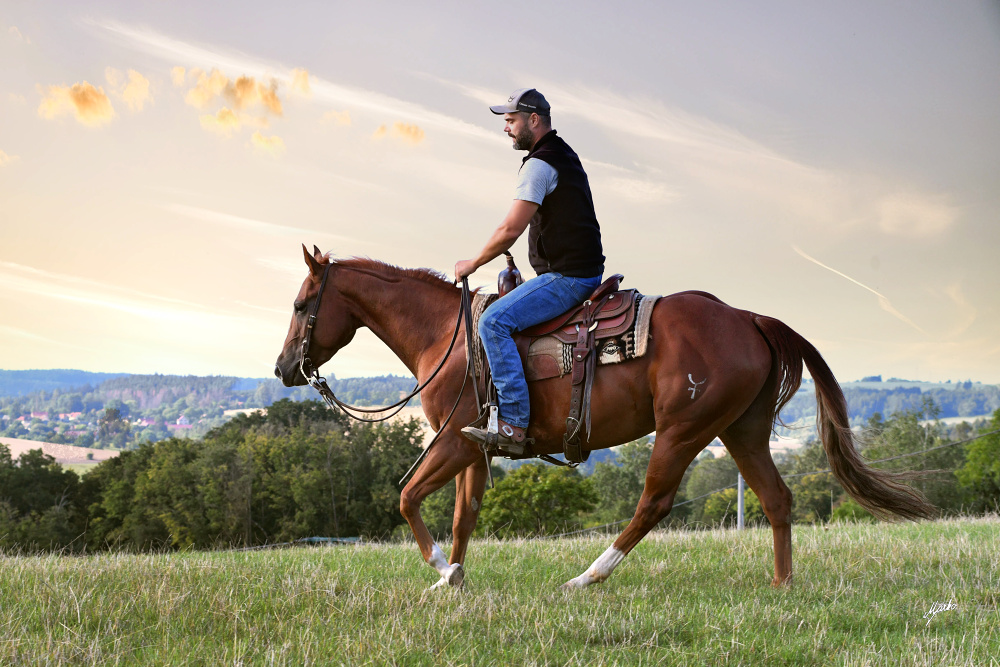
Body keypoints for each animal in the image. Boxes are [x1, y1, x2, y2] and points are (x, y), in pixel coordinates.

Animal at [272, 248, 928, 592]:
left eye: (303, 304)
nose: (283, 367)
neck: (447, 336)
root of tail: (749, 318)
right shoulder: (477, 449)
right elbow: (464, 515)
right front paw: (453, 578)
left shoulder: (454, 441)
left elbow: (408, 497)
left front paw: (440, 569)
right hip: (740, 430)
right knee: (777, 499)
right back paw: (782, 586)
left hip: (684, 431)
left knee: (653, 504)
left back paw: (587, 577)